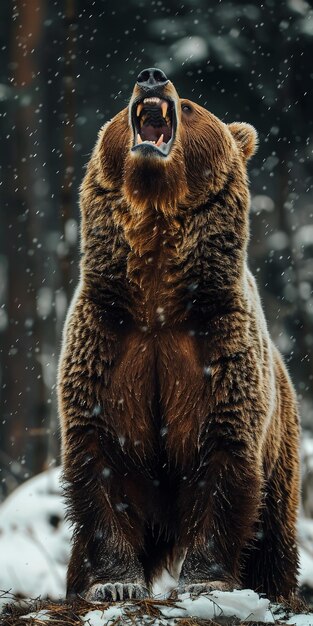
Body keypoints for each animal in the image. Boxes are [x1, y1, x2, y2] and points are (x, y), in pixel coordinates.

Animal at [57, 67, 298, 600]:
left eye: (189, 106)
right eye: (124, 99)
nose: (152, 77)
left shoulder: (217, 343)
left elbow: (225, 462)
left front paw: (205, 580)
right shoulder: (108, 337)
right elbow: (100, 459)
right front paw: (115, 582)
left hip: (283, 442)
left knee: (272, 532)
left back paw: (276, 587)